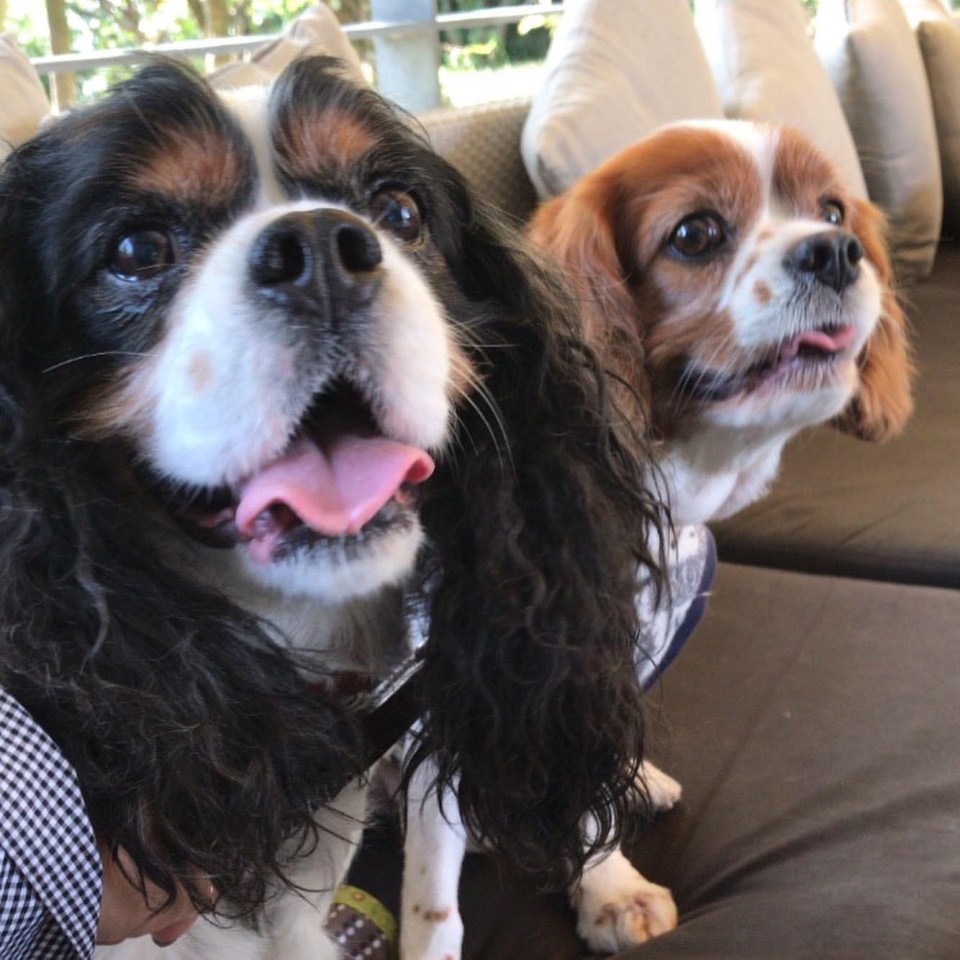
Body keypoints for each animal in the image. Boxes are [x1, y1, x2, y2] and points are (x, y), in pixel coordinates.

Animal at [401, 120, 915, 958]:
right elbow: (432, 885)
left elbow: (589, 789)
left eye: (834, 211)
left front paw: (609, 886)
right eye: (694, 234)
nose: (837, 252)